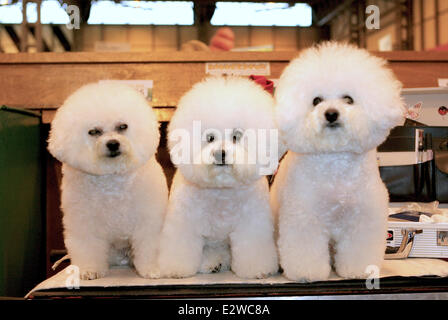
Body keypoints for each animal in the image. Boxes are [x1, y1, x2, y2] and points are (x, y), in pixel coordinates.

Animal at [47, 82, 168, 280]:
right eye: (94, 131)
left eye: (122, 126)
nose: (113, 144)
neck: (111, 179)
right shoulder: (83, 222)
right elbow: (87, 246)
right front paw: (90, 270)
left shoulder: (148, 220)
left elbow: (150, 244)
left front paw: (152, 269)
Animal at [158, 76, 278, 278]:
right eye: (210, 137)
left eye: (236, 136)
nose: (220, 153)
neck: (221, 190)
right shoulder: (184, 221)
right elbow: (180, 246)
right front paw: (176, 269)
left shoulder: (252, 224)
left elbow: (252, 247)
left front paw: (257, 270)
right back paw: (212, 263)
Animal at [270, 42, 406, 280]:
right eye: (316, 100)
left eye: (348, 99)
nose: (331, 114)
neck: (335, 162)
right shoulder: (305, 217)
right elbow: (305, 249)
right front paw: (307, 273)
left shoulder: (362, 219)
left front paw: (357, 271)